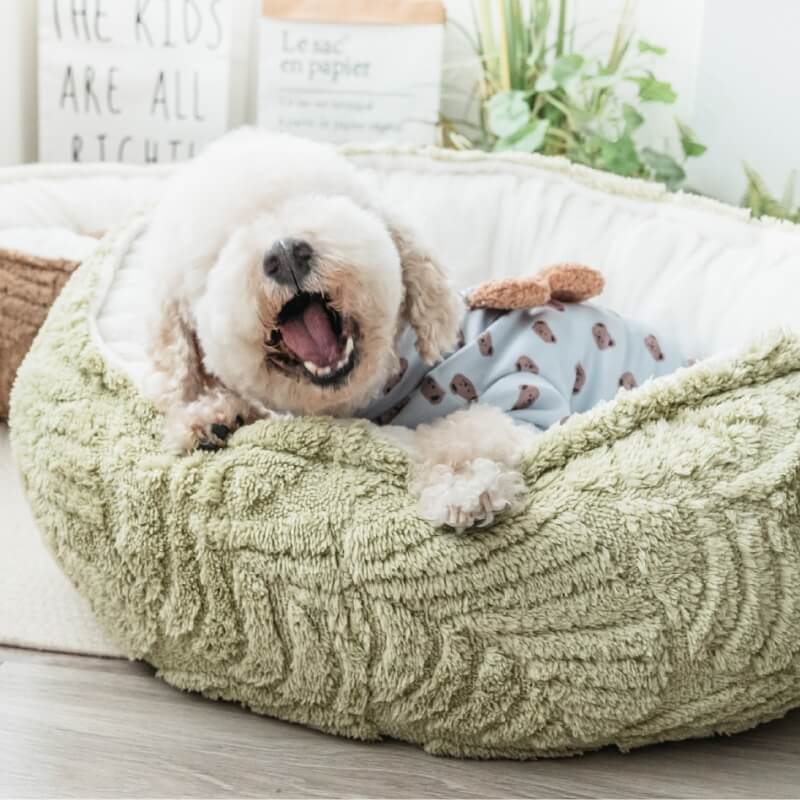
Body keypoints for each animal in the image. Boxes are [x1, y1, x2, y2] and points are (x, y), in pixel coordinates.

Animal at [143, 130, 536, 532]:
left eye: (324, 199)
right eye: (218, 250)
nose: (285, 253)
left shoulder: (523, 396)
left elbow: (469, 431)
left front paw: (464, 484)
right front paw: (213, 419)